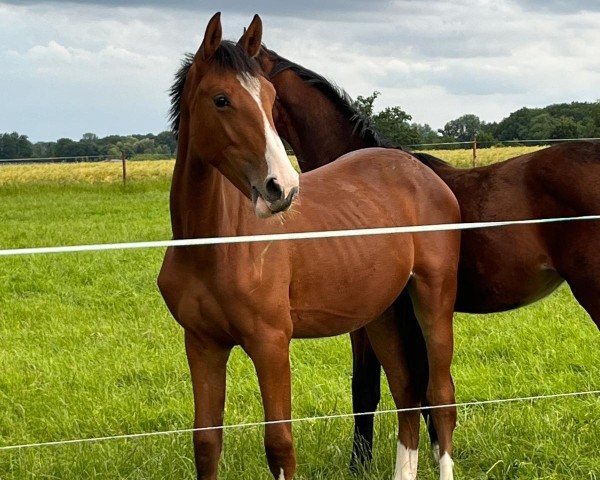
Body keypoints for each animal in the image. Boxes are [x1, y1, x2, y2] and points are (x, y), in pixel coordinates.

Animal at [157, 13, 462, 480]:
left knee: (441, 398)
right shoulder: (202, 344)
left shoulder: (271, 344)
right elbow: (207, 443)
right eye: (222, 99)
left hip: (433, 301)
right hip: (383, 314)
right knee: (408, 397)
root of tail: (421, 171)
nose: (281, 188)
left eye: (270, 97)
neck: (216, 244)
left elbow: (280, 445)